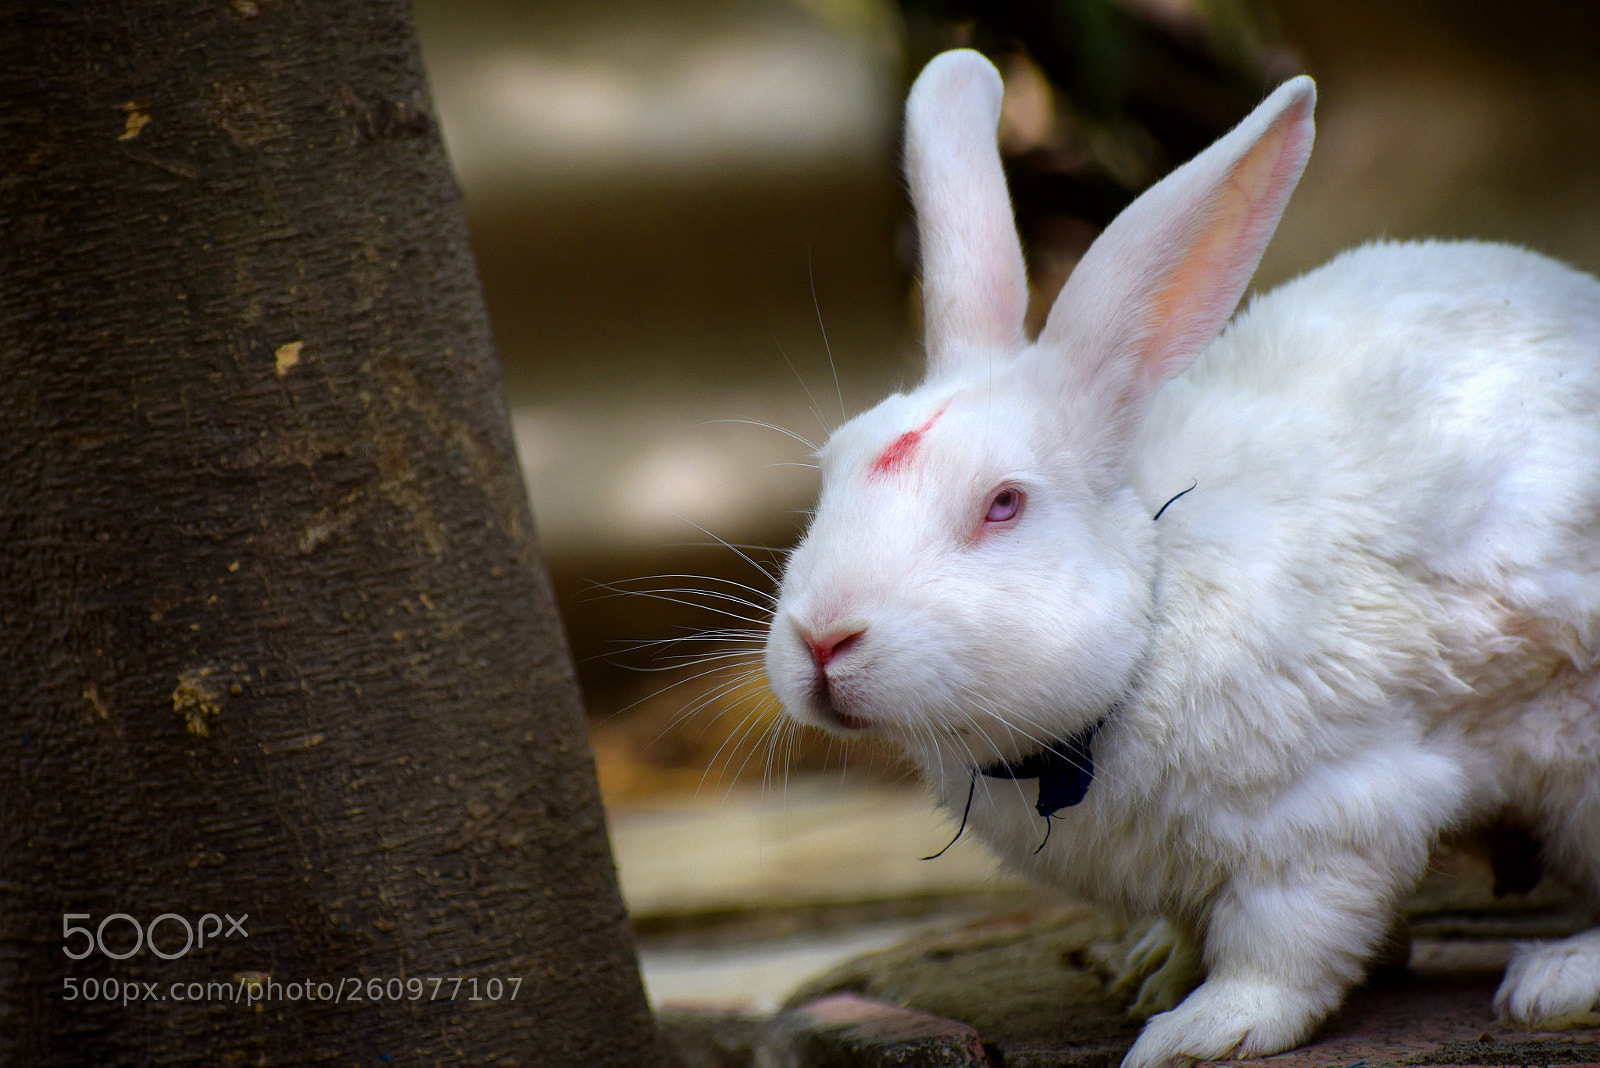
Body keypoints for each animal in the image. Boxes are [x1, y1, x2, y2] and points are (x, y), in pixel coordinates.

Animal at [760, 48, 1600, 1068]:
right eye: (832, 465)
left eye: (1003, 504)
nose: (822, 641)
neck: (1152, 620)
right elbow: (1205, 929)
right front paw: (1154, 975)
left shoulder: (1334, 817)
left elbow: (1285, 950)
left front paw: (1199, 1031)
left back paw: (1554, 980)